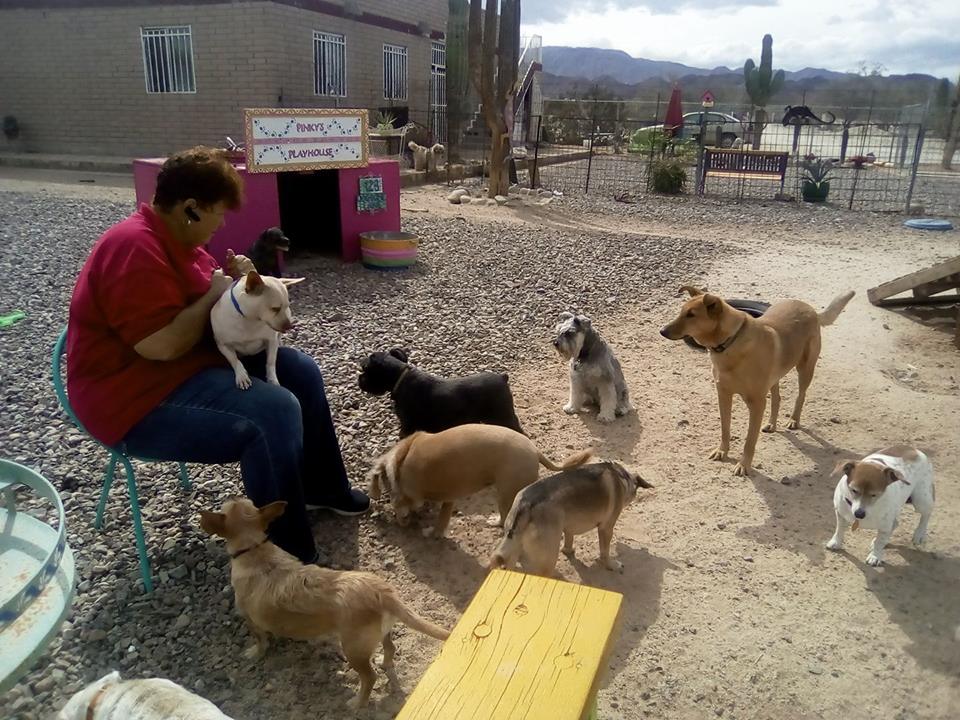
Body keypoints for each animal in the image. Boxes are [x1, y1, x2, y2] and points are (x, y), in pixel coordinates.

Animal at [198, 498, 450, 704]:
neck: (254, 550)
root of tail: (382, 592)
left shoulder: (249, 619)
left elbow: (260, 640)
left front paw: (256, 653)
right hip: (381, 633)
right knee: (391, 648)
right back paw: (385, 663)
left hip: (353, 650)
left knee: (370, 678)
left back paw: (357, 704)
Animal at [358, 346, 524, 436]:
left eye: (365, 369)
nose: (359, 380)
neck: (400, 377)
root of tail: (503, 377)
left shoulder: (407, 427)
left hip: (503, 416)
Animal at [368, 424, 592, 536]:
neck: (401, 458)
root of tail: (535, 451)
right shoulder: (449, 497)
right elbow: (442, 518)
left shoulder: (412, 495)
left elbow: (404, 508)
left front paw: (408, 522)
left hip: (505, 493)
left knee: (505, 518)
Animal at [660, 284, 856, 476]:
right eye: (681, 311)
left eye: (691, 315)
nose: (662, 331)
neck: (729, 343)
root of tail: (811, 309)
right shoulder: (723, 395)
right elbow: (725, 428)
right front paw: (722, 451)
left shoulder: (757, 403)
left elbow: (750, 440)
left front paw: (743, 465)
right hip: (775, 376)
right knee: (777, 398)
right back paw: (771, 424)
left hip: (805, 369)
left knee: (801, 396)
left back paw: (793, 420)